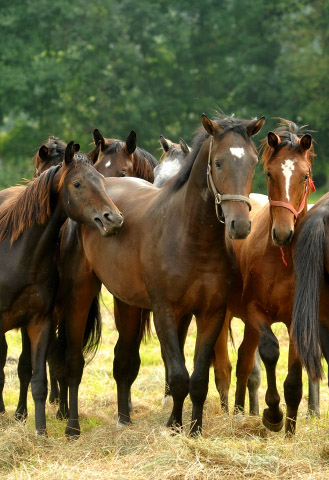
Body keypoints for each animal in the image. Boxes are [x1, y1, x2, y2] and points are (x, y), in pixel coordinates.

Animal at [0, 141, 122, 434]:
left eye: (102, 181)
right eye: (77, 184)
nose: (113, 218)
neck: (17, 255)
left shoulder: (40, 321)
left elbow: (40, 379)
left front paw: (42, 430)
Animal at [55, 112, 264, 436]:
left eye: (253, 161)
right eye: (218, 163)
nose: (239, 224)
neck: (191, 236)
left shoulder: (211, 313)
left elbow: (198, 379)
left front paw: (195, 430)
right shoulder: (165, 311)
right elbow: (178, 375)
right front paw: (174, 426)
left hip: (127, 302)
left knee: (123, 358)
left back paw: (124, 418)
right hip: (81, 292)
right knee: (76, 360)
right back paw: (74, 427)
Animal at [211, 120, 314, 436]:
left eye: (305, 176)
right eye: (269, 173)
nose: (283, 233)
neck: (282, 258)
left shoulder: (296, 319)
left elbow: (293, 375)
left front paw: (290, 428)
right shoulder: (256, 313)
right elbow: (270, 352)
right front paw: (272, 414)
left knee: (244, 362)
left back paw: (239, 410)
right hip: (224, 316)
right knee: (225, 366)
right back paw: (228, 412)